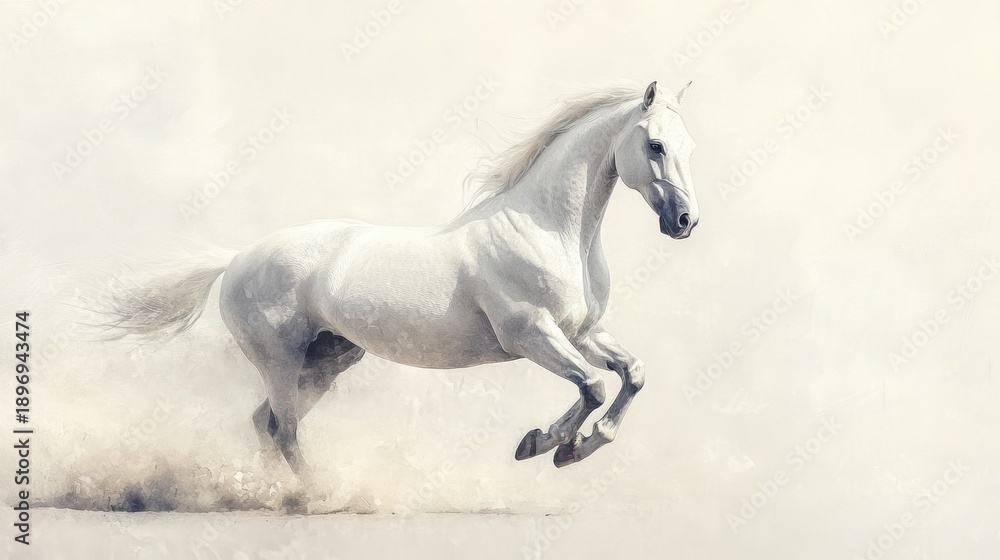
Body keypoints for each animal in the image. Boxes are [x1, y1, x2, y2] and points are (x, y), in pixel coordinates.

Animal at [101, 81, 699, 478]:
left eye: (687, 146)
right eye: (656, 145)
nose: (685, 222)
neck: (549, 230)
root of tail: (236, 260)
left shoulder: (583, 332)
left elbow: (632, 374)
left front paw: (579, 446)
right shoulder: (531, 334)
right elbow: (593, 385)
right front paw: (543, 443)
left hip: (326, 361)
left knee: (265, 426)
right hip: (281, 360)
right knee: (284, 430)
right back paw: (317, 497)